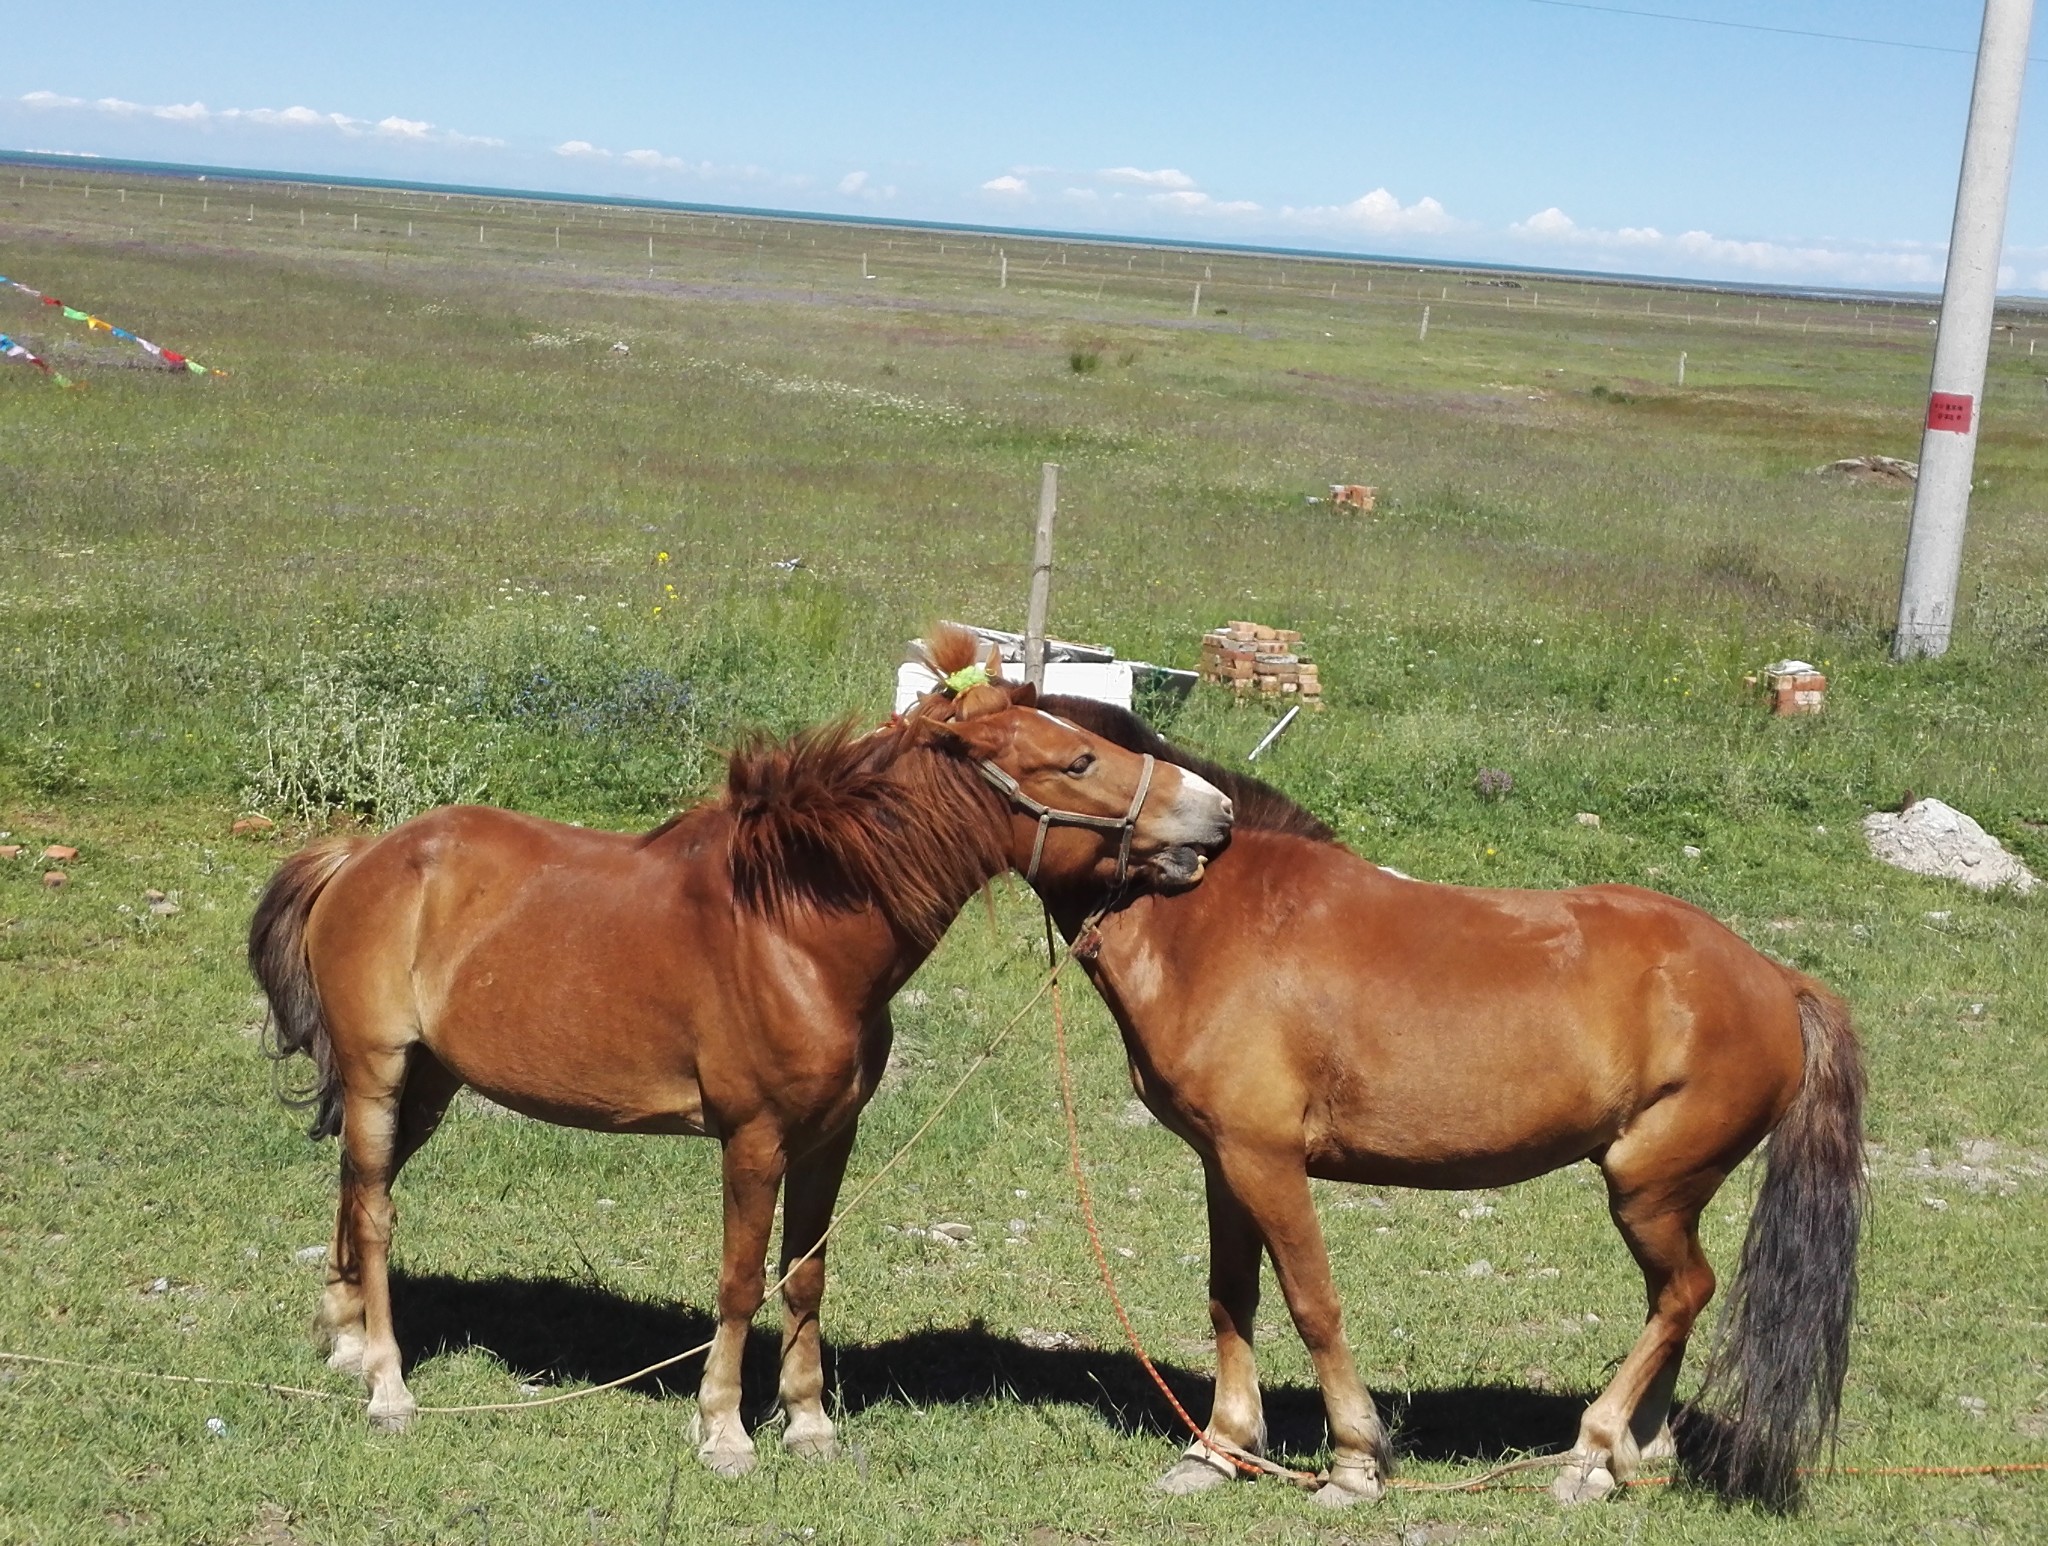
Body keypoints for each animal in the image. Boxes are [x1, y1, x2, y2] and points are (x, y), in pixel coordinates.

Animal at [245, 642, 1220, 1474]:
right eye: (1080, 762)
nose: (1216, 812)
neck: (796, 933)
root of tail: (364, 856)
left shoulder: (830, 1139)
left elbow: (806, 1276)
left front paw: (810, 1424)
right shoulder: (753, 1142)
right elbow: (743, 1281)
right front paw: (724, 1430)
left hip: (427, 1086)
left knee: (355, 1187)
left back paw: (345, 1341)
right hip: (379, 1071)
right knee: (376, 1212)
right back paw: (386, 1385)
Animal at [1048, 700, 1867, 1515]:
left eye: (1080, 758)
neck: (1213, 917)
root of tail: (1775, 977)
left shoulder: (1265, 1161)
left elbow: (1312, 1303)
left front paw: (1352, 1465)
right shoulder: (1225, 1163)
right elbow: (1230, 1299)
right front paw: (1218, 1450)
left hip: (1648, 1190)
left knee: (1685, 1293)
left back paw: (1592, 1451)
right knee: (1671, 1300)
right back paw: (1638, 1450)